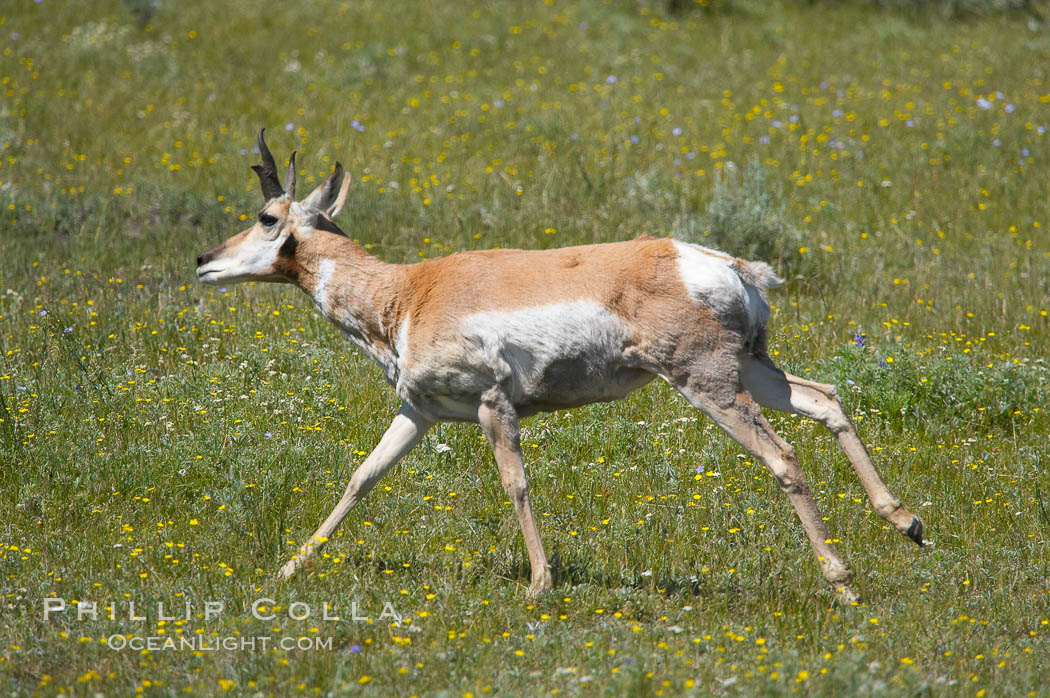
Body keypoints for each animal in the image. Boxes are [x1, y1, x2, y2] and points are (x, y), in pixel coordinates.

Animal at [193, 130, 923, 600]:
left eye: (265, 216)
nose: (203, 261)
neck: (411, 291)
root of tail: (728, 264)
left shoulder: (493, 405)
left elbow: (515, 484)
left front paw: (540, 585)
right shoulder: (419, 412)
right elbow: (361, 478)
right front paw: (287, 572)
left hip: (709, 384)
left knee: (784, 457)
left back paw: (843, 582)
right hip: (755, 372)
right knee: (825, 399)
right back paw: (906, 522)